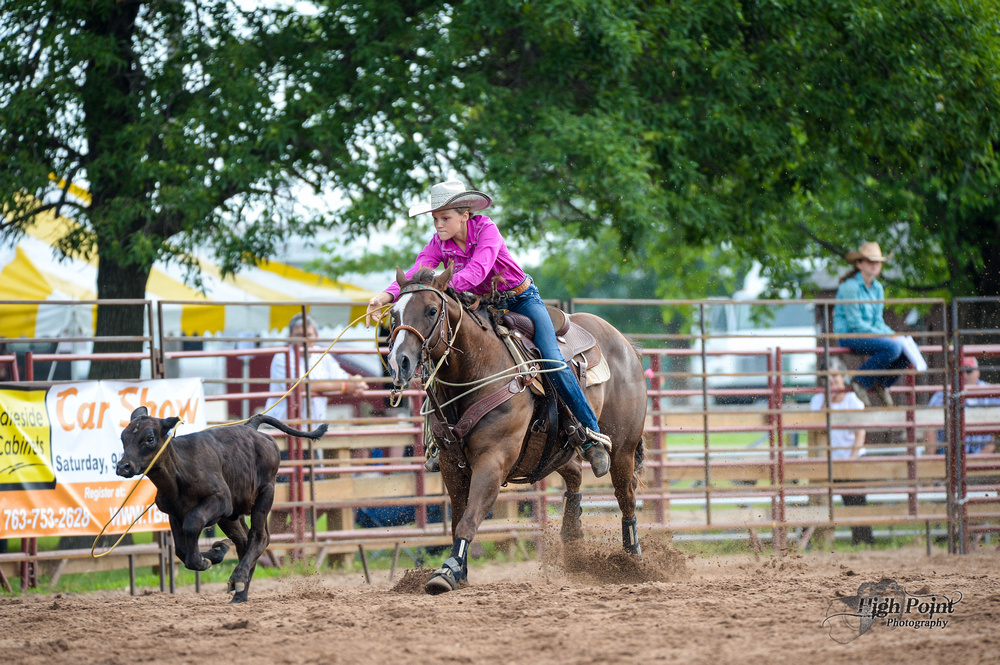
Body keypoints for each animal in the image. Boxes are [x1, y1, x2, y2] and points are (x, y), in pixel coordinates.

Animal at [386, 264, 644, 592]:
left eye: (432, 310)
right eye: (393, 314)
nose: (400, 363)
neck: (479, 367)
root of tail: (626, 344)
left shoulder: (493, 460)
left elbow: (469, 517)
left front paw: (448, 570)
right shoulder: (450, 464)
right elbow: (458, 519)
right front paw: (461, 571)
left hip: (623, 450)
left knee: (626, 497)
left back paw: (633, 559)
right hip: (556, 449)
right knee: (574, 475)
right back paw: (573, 540)